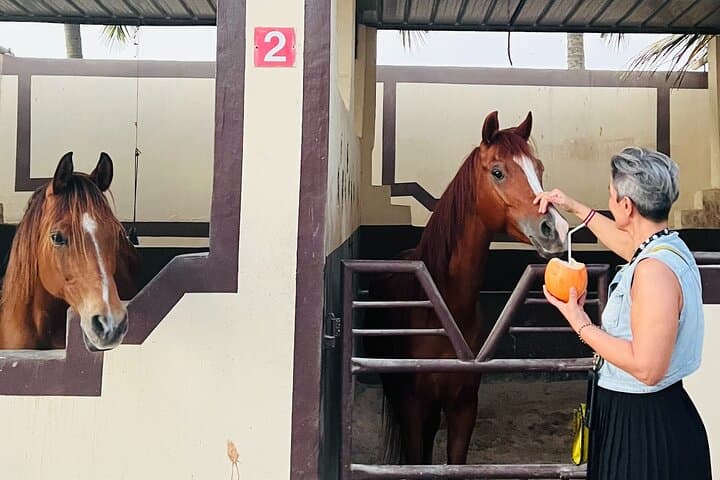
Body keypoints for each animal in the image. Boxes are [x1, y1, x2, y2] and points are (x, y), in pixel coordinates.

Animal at [363, 111, 570, 466]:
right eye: (498, 172)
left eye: (539, 169)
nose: (555, 228)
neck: (442, 309)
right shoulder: (412, 407)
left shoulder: (464, 406)